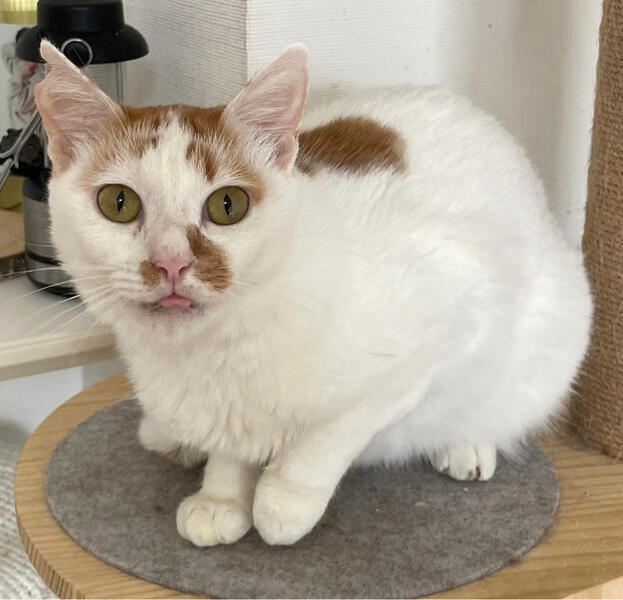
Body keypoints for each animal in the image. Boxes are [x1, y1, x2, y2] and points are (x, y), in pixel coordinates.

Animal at [35, 40, 592, 547]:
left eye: (228, 205)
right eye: (119, 202)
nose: (171, 262)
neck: (210, 351)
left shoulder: (443, 327)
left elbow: (333, 433)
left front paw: (284, 501)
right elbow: (235, 442)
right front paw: (222, 495)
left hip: (557, 327)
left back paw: (467, 445)